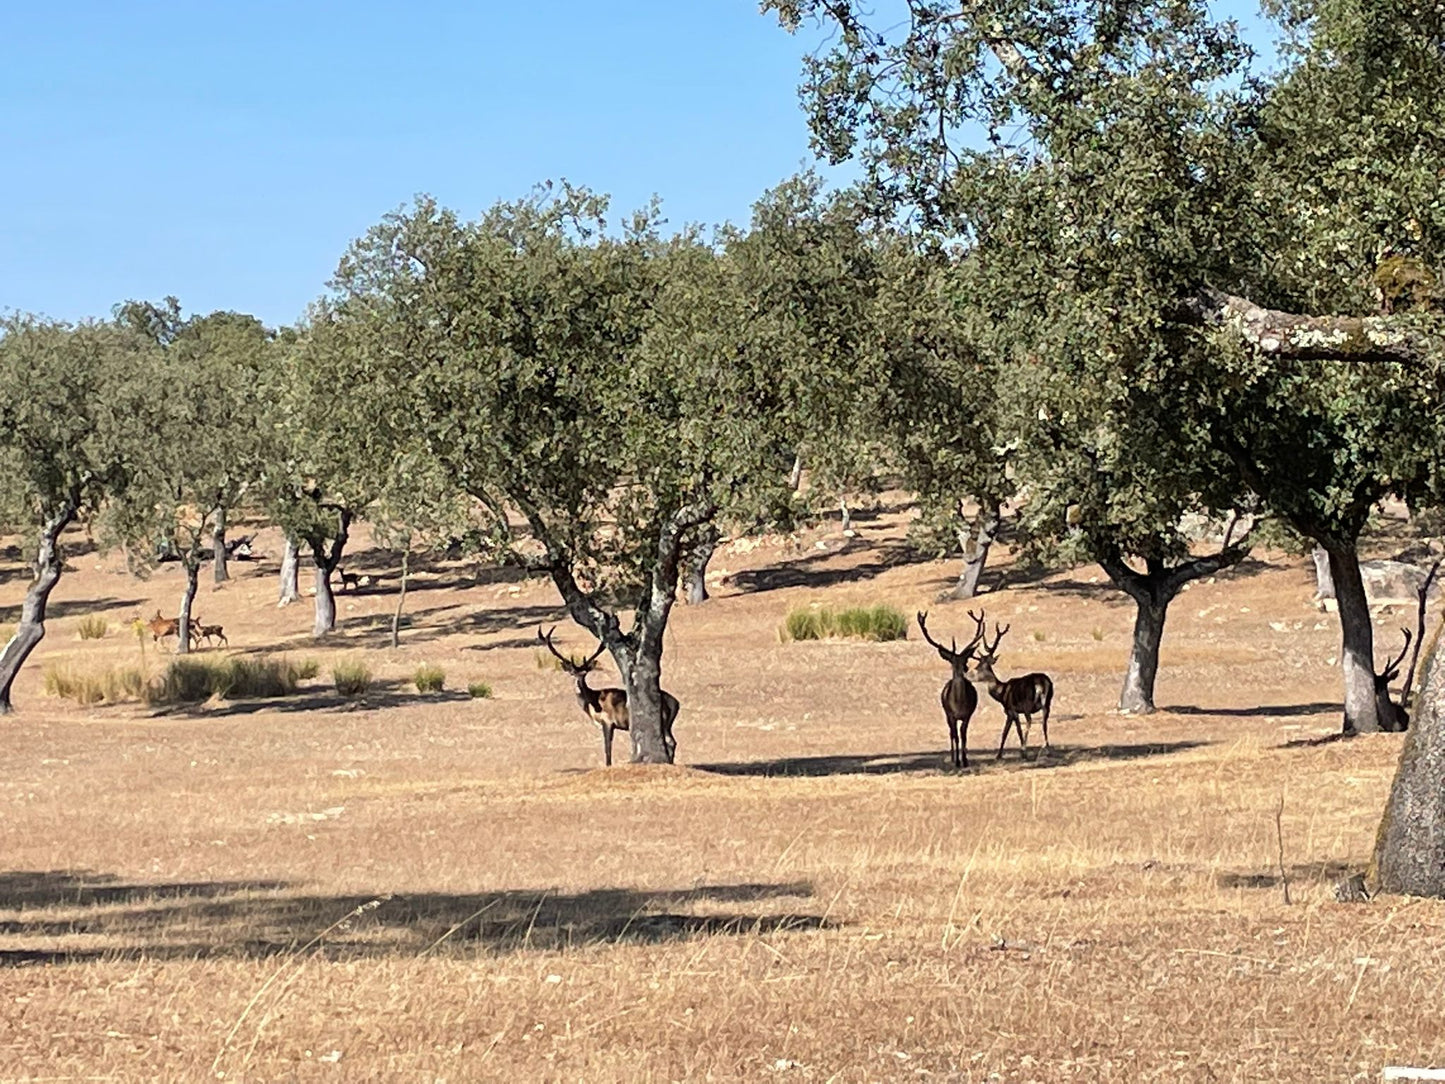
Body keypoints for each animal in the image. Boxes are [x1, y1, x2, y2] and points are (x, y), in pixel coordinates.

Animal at [540, 624, 679, 768]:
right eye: (572, 673)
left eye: (585, 674)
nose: (578, 685)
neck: (594, 704)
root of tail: (676, 703)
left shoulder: (608, 721)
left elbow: (607, 748)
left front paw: (608, 765)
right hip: (667, 724)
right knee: (672, 741)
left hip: (663, 720)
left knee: (670, 742)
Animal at [919, 612, 988, 774]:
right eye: (953, 662)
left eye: (965, 659)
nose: (966, 668)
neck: (959, 704)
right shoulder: (951, 714)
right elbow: (955, 735)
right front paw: (957, 761)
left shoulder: (968, 714)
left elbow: (963, 735)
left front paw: (965, 760)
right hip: (946, 714)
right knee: (951, 732)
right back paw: (951, 757)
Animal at [965, 618, 1057, 763]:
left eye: (978, 667)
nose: (967, 675)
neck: (1002, 693)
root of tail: (1041, 683)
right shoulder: (1013, 712)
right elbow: (1008, 731)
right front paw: (1000, 754)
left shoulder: (1011, 710)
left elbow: (1008, 731)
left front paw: (1000, 754)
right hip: (1047, 703)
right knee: (1044, 722)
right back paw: (1047, 749)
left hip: (1027, 703)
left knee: (1030, 721)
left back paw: (1024, 751)